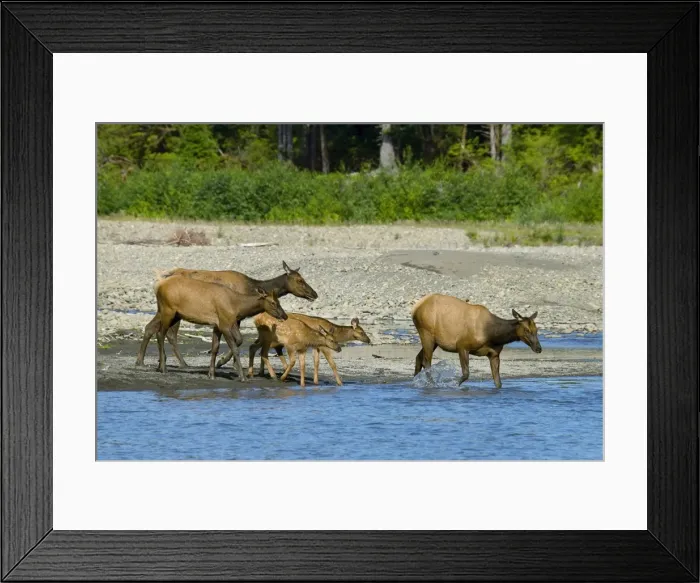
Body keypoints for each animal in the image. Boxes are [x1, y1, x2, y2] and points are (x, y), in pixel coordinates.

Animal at [136, 261, 316, 368]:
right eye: (299, 280)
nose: (314, 294)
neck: (251, 288)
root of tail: (158, 281)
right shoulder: (234, 317)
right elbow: (237, 341)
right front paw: (223, 362)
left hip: (167, 310)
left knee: (150, 327)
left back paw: (142, 361)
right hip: (173, 311)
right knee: (168, 333)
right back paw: (179, 363)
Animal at [153, 274, 288, 381]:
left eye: (279, 302)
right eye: (273, 302)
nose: (285, 316)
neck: (237, 307)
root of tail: (158, 288)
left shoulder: (219, 325)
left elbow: (216, 347)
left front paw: (211, 373)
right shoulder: (224, 324)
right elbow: (235, 347)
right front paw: (242, 376)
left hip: (175, 315)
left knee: (161, 333)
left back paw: (160, 366)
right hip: (167, 310)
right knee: (160, 334)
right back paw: (163, 368)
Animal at [411, 293, 542, 388]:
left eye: (536, 329)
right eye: (526, 329)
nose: (539, 348)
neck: (492, 336)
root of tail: (415, 308)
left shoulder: (494, 354)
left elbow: (498, 382)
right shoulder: (462, 345)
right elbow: (465, 374)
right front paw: (455, 385)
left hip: (434, 341)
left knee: (419, 358)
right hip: (426, 333)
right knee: (427, 362)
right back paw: (431, 384)